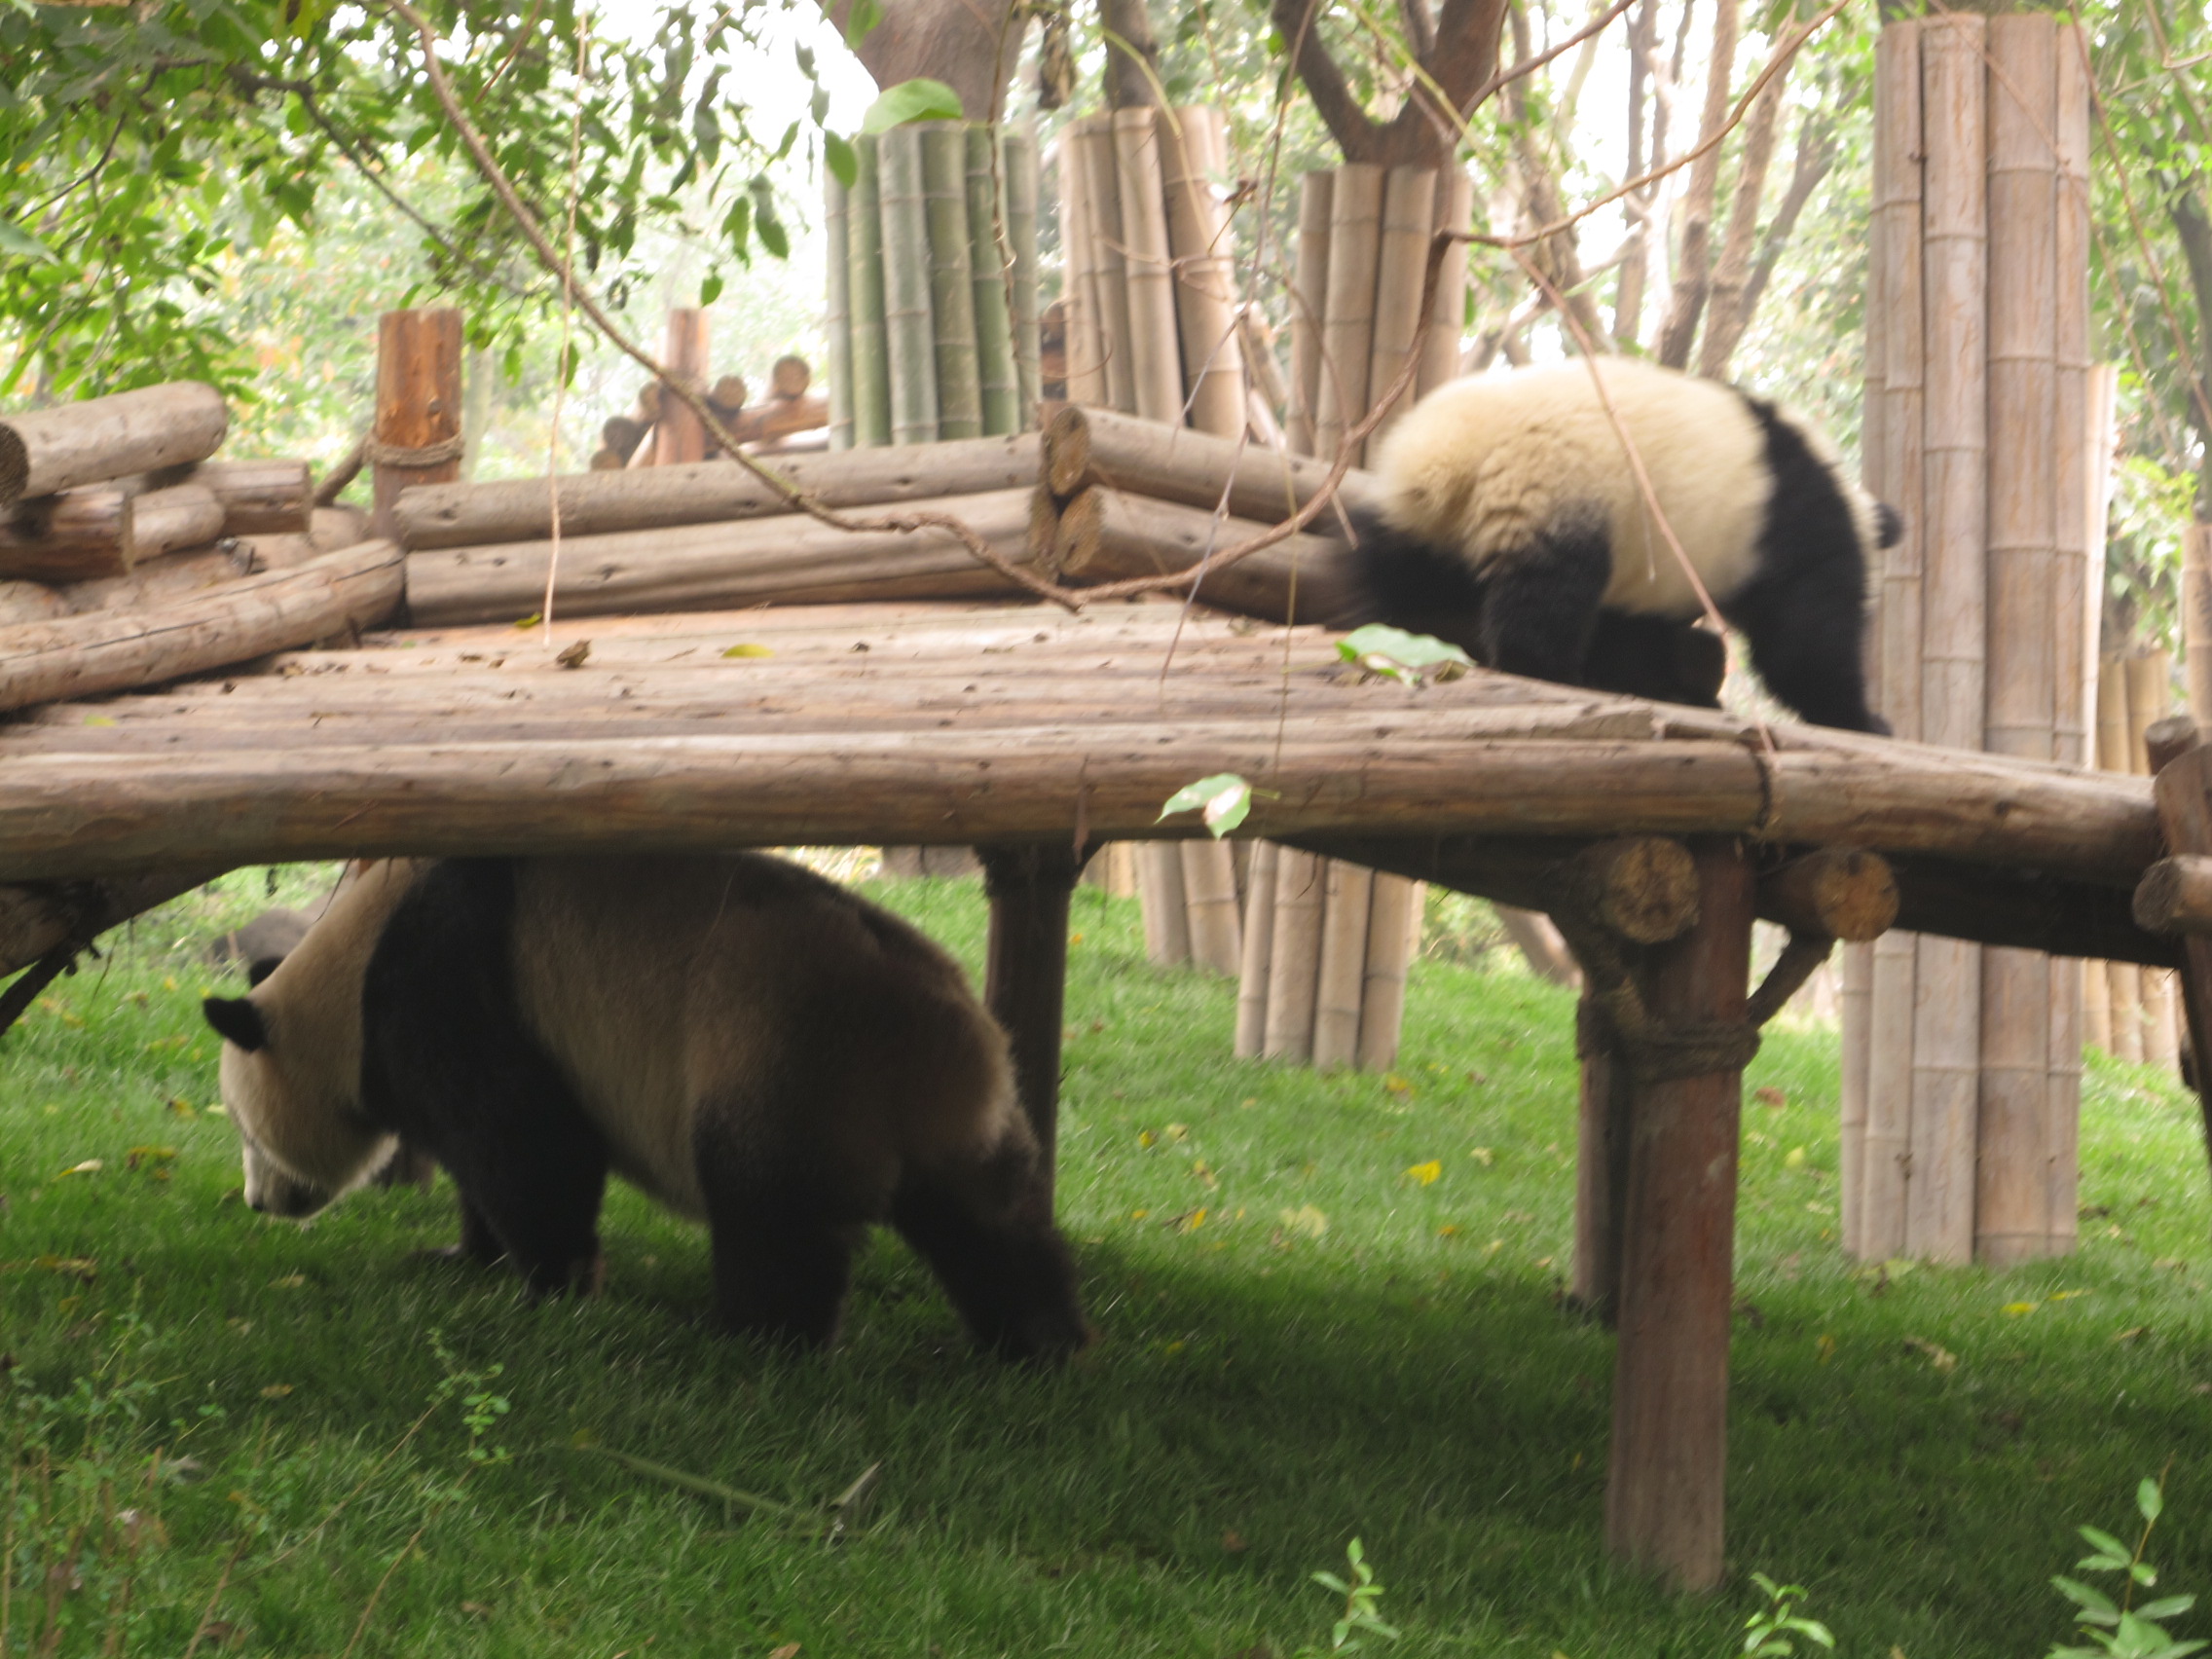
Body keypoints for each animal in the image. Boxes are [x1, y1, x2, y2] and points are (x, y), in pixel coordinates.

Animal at [200, 852, 1089, 1363]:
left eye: (247, 1132)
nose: (258, 1202)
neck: (346, 967)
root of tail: (943, 1047)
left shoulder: (443, 982)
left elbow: (524, 1143)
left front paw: (549, 1284)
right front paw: (463, 1257)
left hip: (784, 1050)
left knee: (774, 1217)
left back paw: (750, 1338)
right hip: (961, 1114)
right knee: (990, 1225)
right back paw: (1040, 1340)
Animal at [1346, 358, 1903, 733]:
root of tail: (1448, 456)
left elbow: (1633, 638)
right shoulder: (1796, 533)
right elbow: (1804, 642)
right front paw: (1862, 718)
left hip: (1423, 521)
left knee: (1406, 577)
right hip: (1558, 486)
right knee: (1548, 596)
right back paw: (1552, 672)